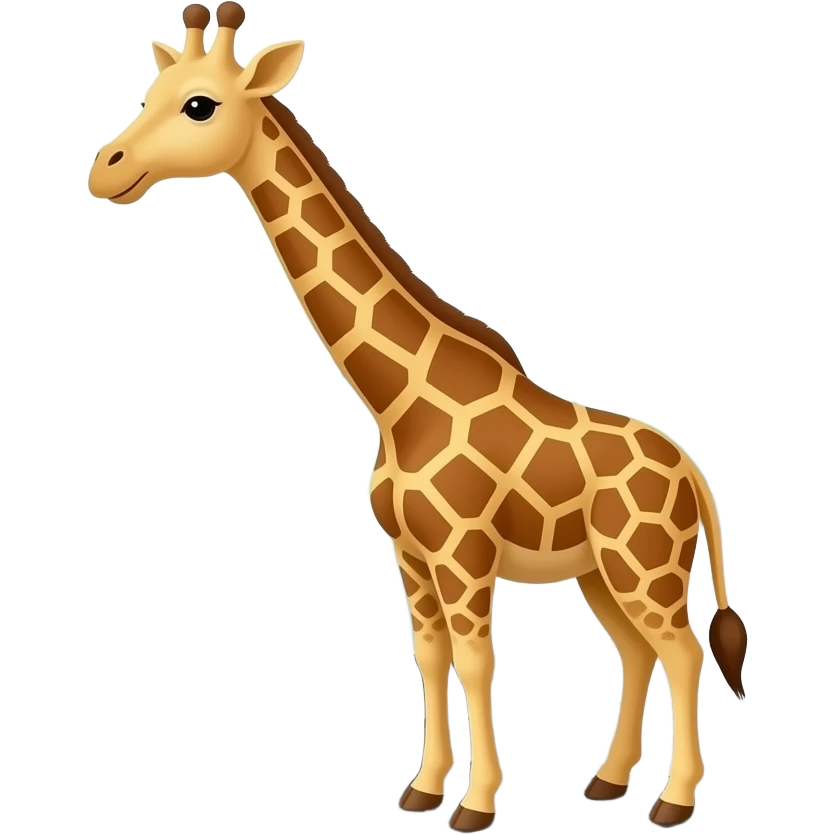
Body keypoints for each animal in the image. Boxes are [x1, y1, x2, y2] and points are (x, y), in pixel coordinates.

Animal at [86, 4, 749, 831]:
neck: (401, 401)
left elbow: (475, 660)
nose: (104, 171)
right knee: (635, 651)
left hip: (645, 563)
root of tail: (691, 467)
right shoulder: (408, 553)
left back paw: (671, 799)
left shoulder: (463, 552)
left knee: (683, 652)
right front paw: (424, 788)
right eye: (150, 90)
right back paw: (604, 782)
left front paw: (475, 804)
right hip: (602, 569)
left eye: (200, 105)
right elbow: (429, 658)